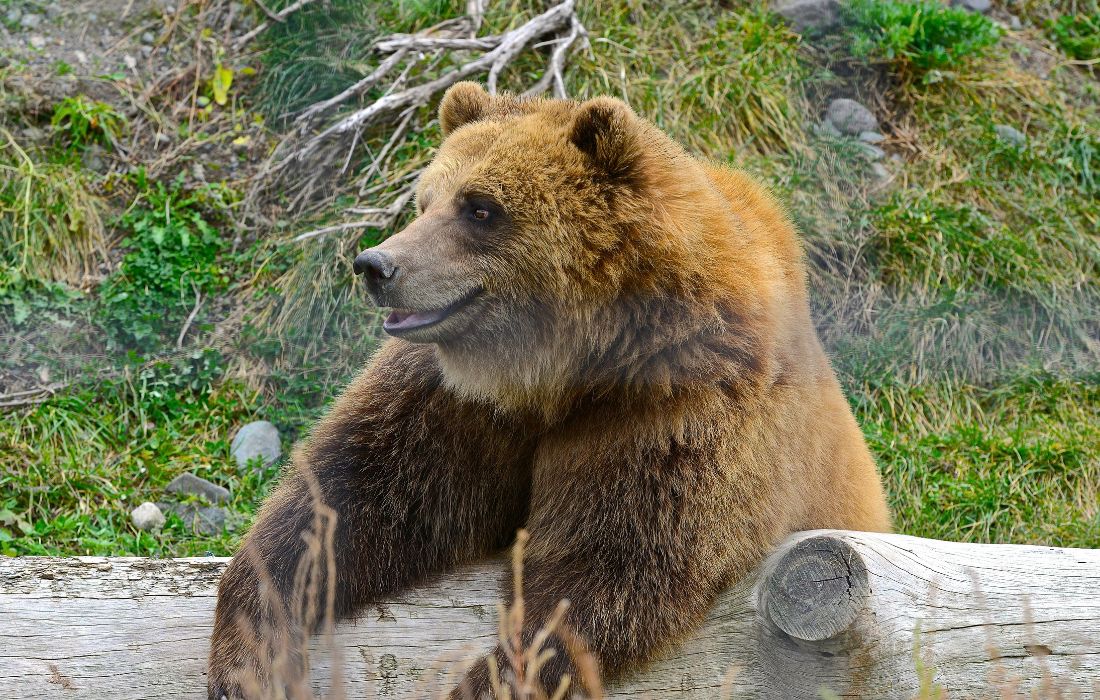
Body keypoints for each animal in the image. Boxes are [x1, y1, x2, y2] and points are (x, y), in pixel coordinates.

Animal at [207, 81, 890, 699]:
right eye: (426, 200)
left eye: (480, 207)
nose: (377, 265)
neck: (568, 369)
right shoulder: (459, 400)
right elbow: (359, 492)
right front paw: (249, 656)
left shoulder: (675, 411)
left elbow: (604, 571)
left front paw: (492, 679)